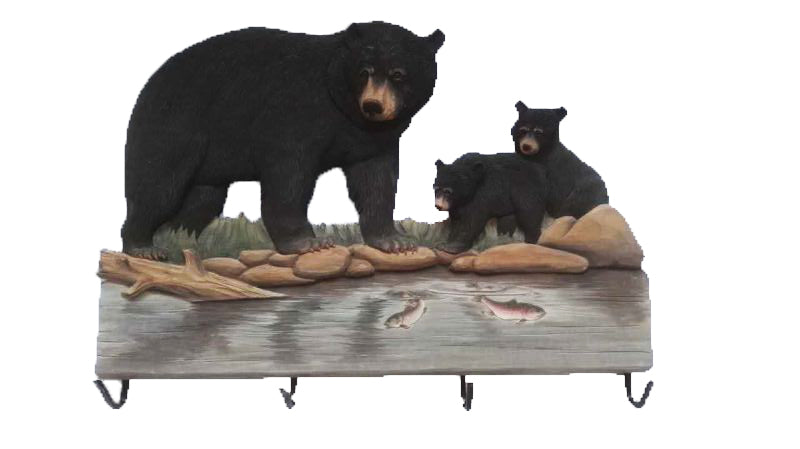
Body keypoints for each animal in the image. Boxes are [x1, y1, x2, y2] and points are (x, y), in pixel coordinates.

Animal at [121, 22, 445, 260]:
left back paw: (178, 237)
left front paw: (394, 240)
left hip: (209, 163)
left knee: (201, 200)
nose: (374, 105)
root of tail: (149, 84)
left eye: (398, 74)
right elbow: (288, 174)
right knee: (159, 186)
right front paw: (307, 242)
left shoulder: (372, 140)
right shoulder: (295, 109)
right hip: (174, 128)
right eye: (364, 71)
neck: (345, 111)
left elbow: (375, 181)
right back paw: (143, 246)